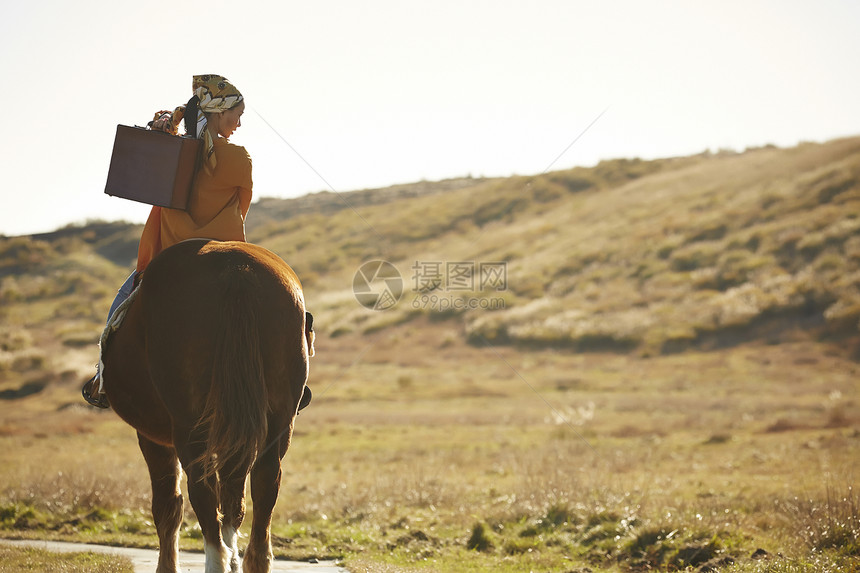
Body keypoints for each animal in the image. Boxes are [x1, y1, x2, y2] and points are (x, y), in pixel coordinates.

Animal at [101, 238, 312, 572]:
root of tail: (237, 270)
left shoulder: (150, 435)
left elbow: (168, 506)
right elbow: (232, 499)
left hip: (188, 427)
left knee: (202, 491)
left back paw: (217, 560)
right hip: (278, 423)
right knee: (260, 485)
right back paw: (247, 559)